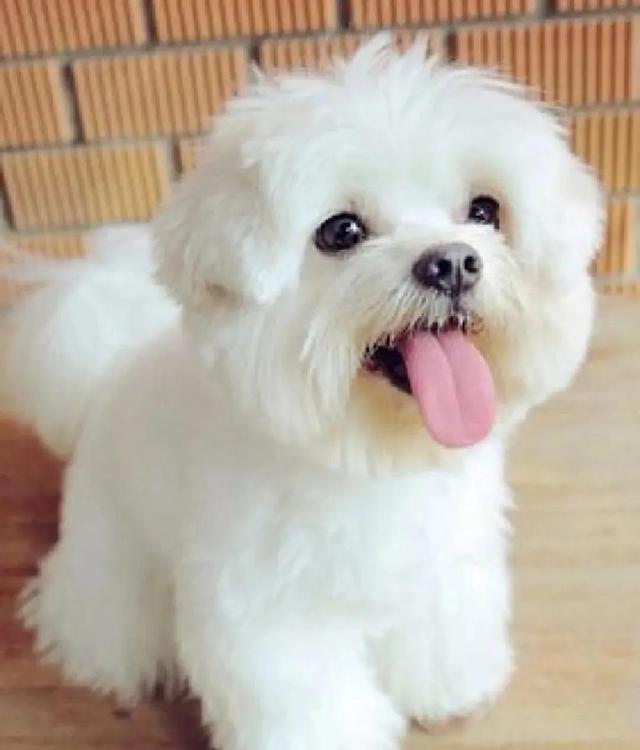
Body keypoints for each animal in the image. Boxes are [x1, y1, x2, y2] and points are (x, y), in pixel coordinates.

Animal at [2, 36, 602, 750]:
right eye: (341, 232)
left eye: (485, 212)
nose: (452, 261)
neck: (371, 457)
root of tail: (108, 367)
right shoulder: (272, 619)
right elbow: (310, 702)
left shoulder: (444, 569)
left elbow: (440, 631)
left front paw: (449, 688)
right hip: (110, 537)